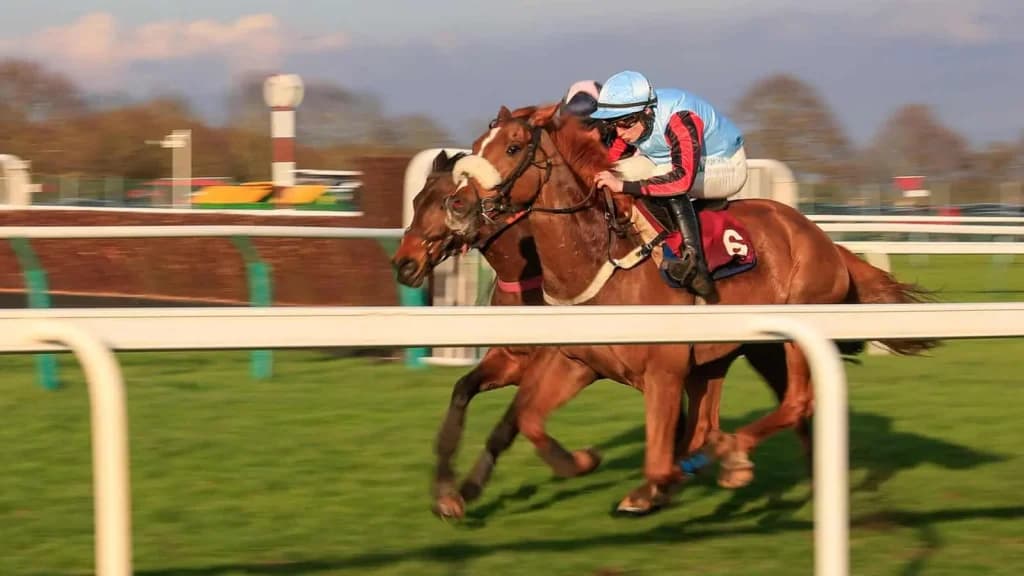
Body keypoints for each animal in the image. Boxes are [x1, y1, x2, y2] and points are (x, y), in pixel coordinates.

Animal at [441, 103, 938, 513]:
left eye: (513, 146)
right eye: (475, 146)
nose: (456, 204)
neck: (600, 256)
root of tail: (825, 240)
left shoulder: (663, 370)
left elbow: (659, 462)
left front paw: (664, 483)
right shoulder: (577, 361)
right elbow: (528, 418)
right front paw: (580, 461)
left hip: (790, 337)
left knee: (797, 402)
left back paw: (735, 454)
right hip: (725, 355)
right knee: (730, 418)